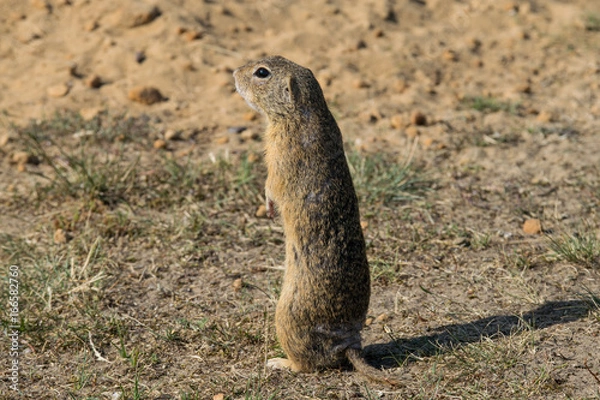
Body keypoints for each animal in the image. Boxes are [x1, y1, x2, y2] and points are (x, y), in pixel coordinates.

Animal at [233, 54, 394, 382]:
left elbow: (271, 186)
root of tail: (349, 344)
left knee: (306, 365)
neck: (302, 112)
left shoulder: (279, 159)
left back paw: (278, 362)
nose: (233, 73)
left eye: (261, 73)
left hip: (285, 318)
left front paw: (268, 208)